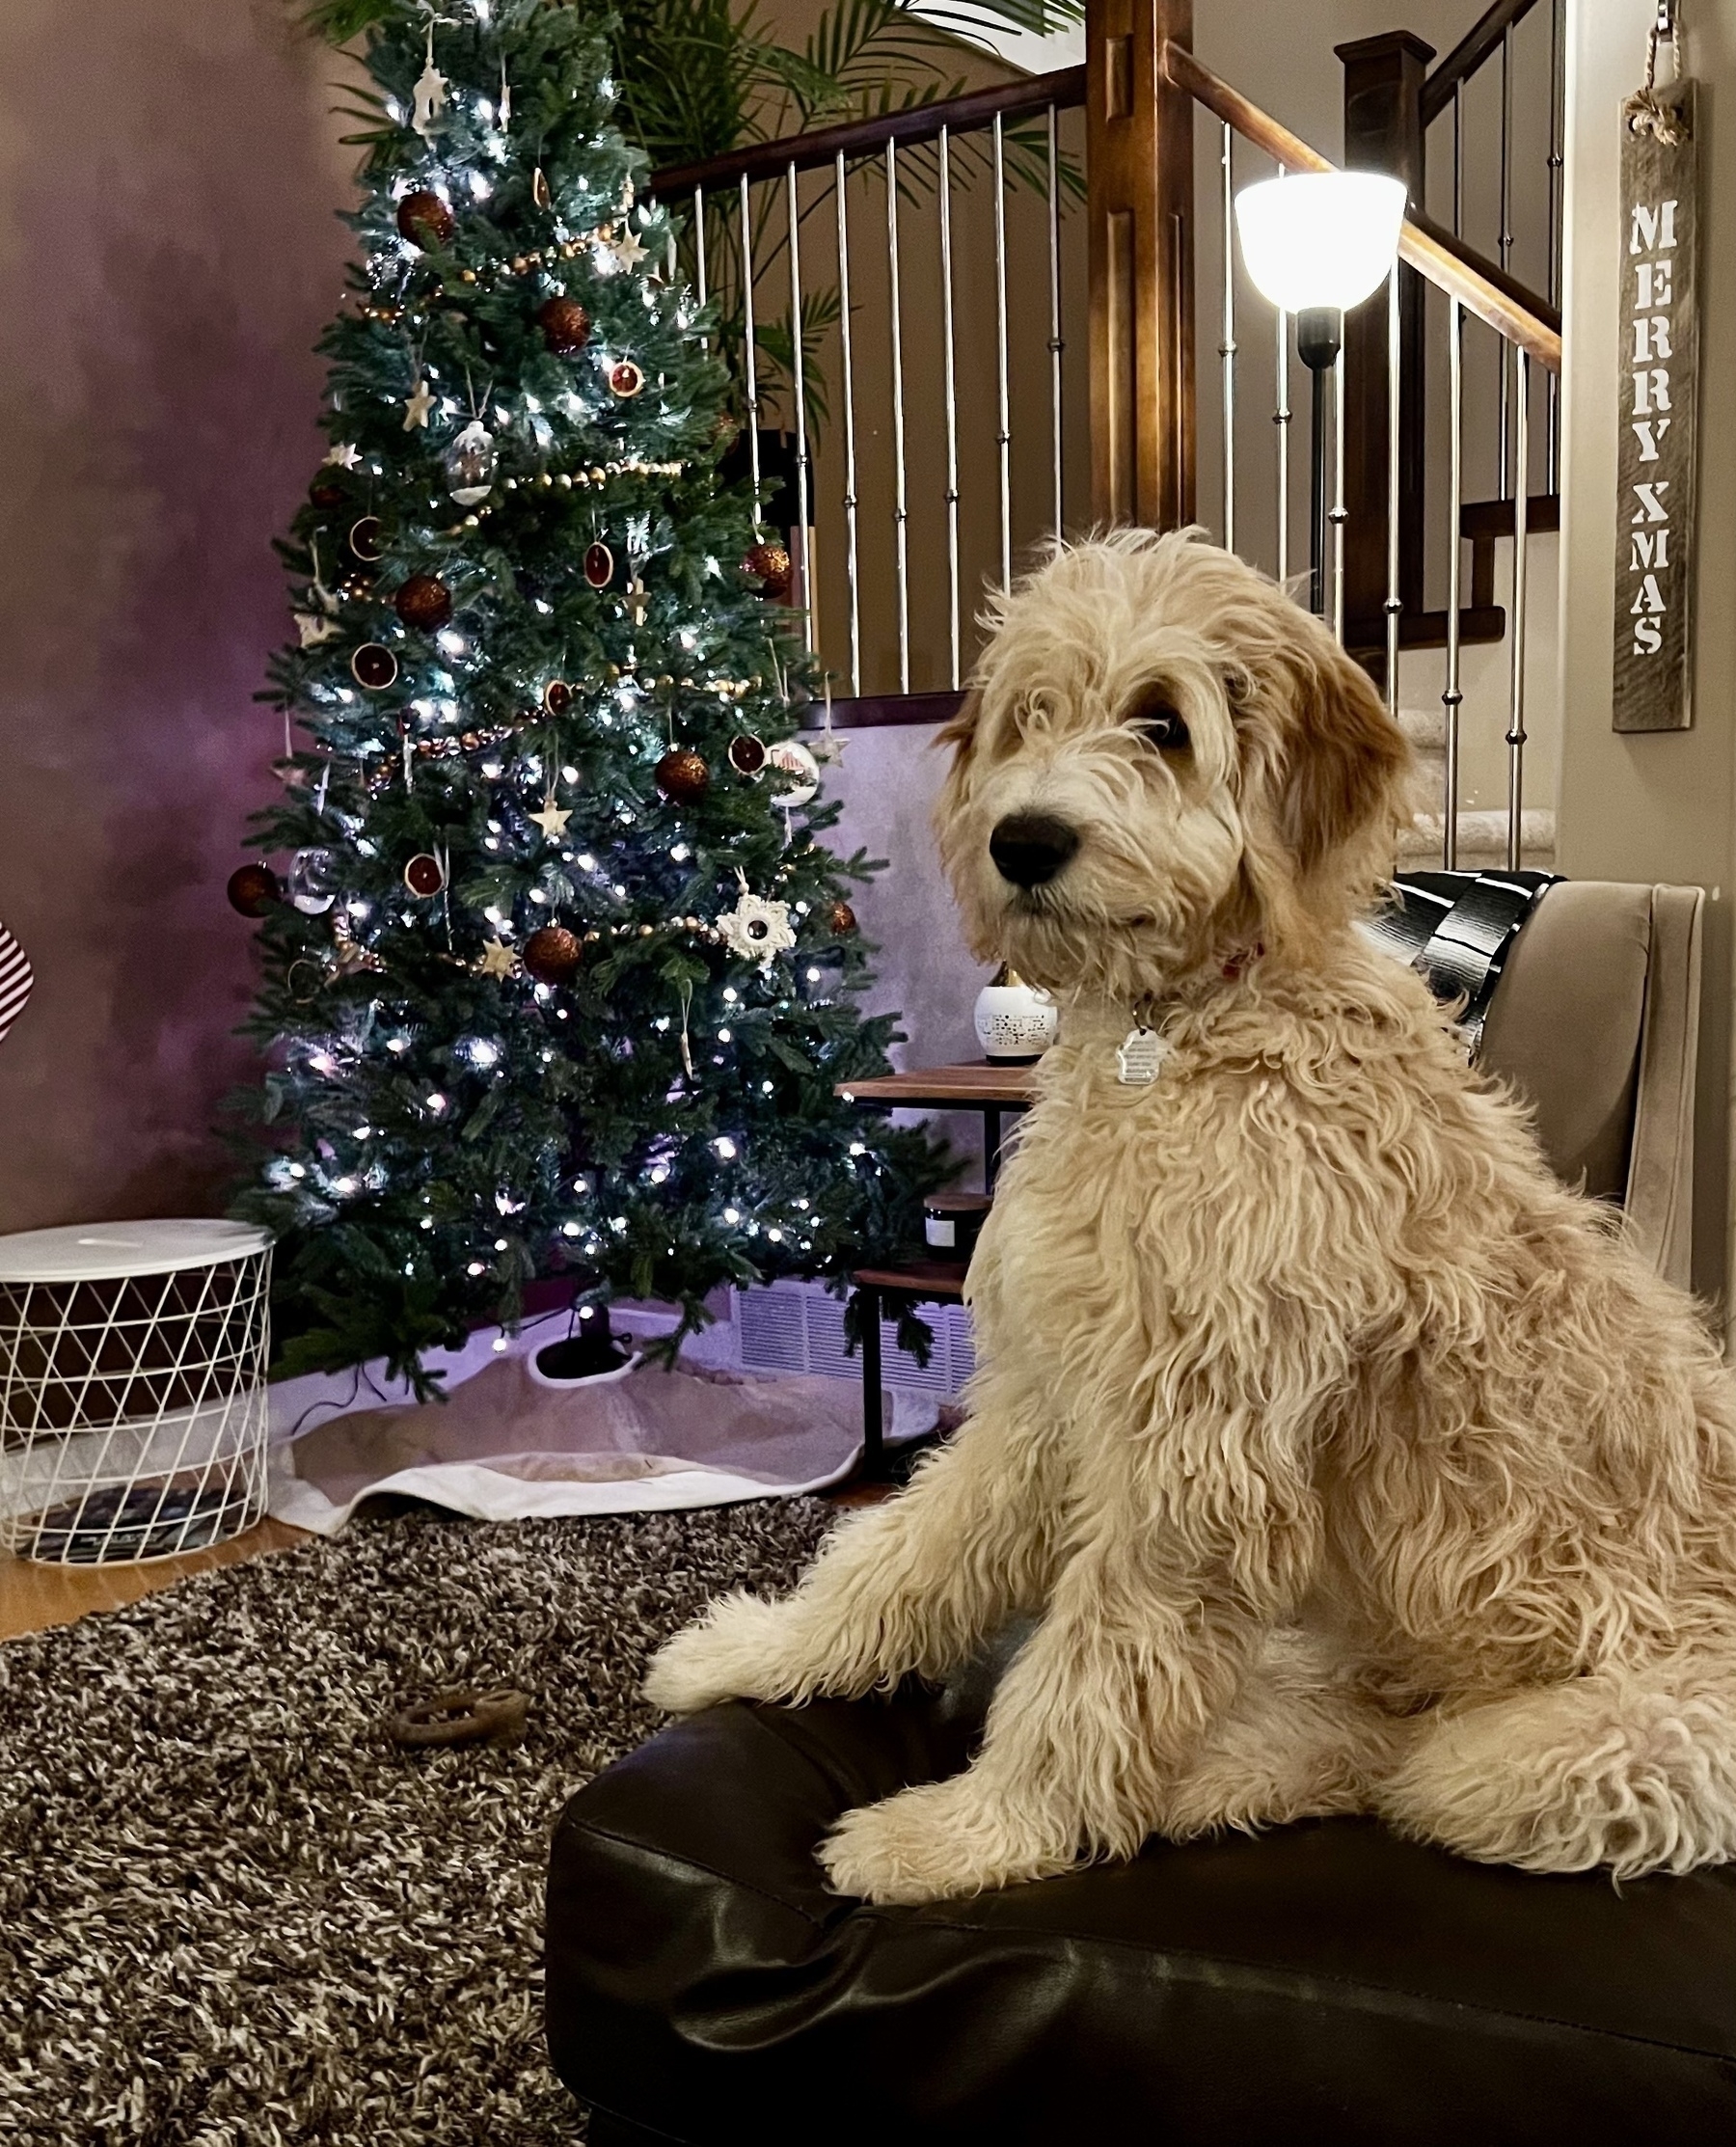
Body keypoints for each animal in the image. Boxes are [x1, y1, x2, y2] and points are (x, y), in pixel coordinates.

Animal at [643, 528, 1733, 1906]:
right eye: (1031, 714)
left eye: (1163, 722)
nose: (1023, 841)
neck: (1174, 1038)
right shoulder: (1049, 1393)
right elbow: (911, 1550)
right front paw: (766, 1653)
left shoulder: (1200, 1449)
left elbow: (1096, 1669)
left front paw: (979, 1830)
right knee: (1350, 1730)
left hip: (1547, 1758)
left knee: (1397, 1769)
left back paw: (1188, 1785)